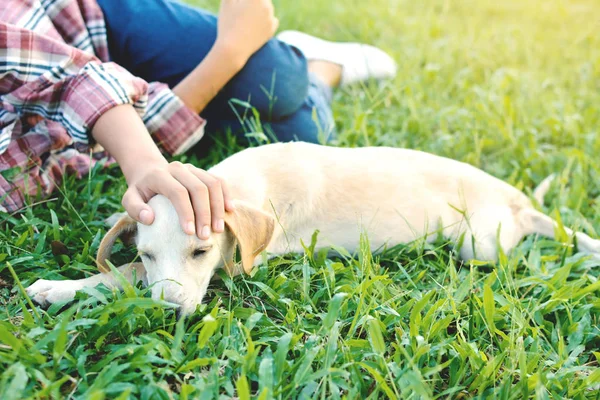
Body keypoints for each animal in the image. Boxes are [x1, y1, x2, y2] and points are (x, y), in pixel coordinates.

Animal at [25, 142, 600, 314]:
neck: (241, 181)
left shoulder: (242, 261)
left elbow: (121, 276)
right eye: (148, 251)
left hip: (476, 243)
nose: (167, 313)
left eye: (201, 252)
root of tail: (516, 199)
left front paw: (64, 286)